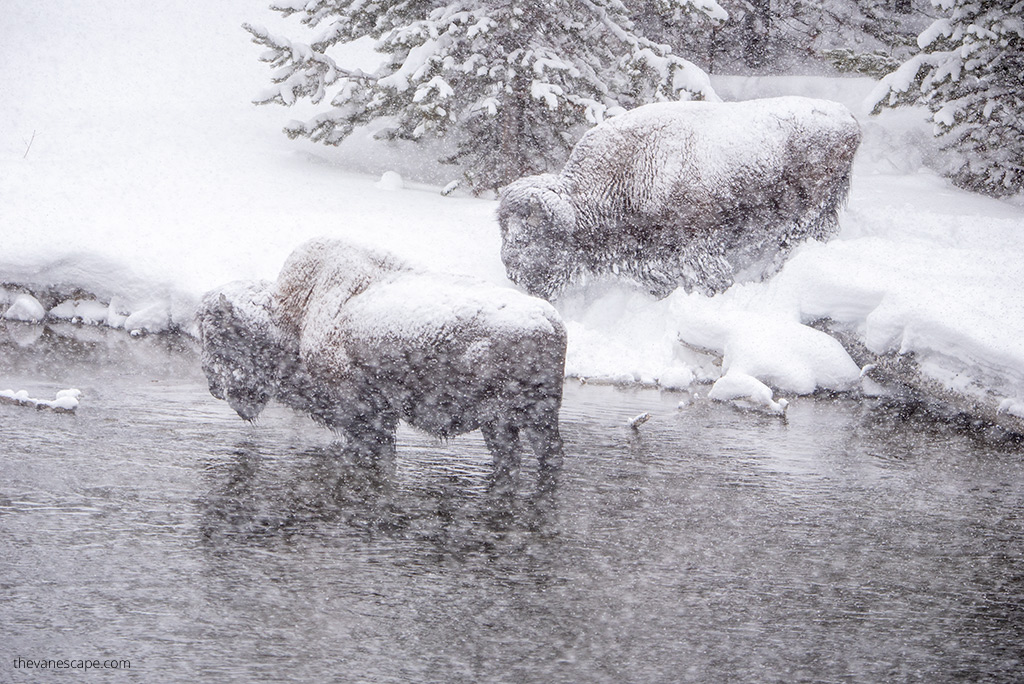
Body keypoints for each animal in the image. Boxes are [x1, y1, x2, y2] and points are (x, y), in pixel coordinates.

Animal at [195, 239, 569, 475]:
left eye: (219, 338)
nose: (213, 385)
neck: (295, 316)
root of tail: (551, 322)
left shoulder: (363, 417)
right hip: (525, 421)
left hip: (505, 420)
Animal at [499, 96, 860, 298]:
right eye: (506, 230)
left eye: (533, 236)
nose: (510, 267)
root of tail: (849, 120)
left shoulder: (700, 245)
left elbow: (709, 276)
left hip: (810, 209)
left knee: (798, 238)